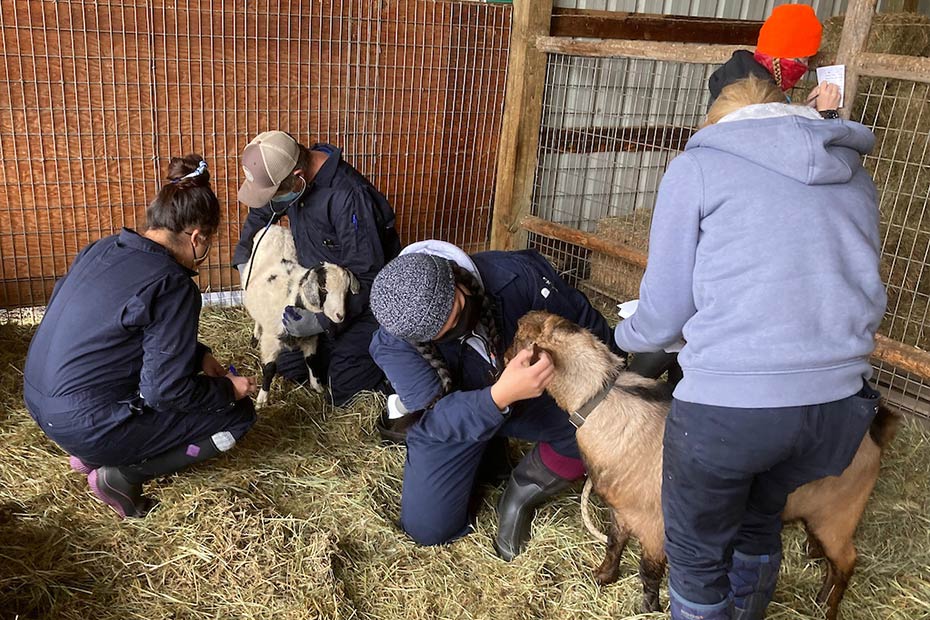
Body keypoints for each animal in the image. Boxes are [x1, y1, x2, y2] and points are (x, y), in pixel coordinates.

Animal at [508, 312, 900, 616]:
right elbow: (614, 544)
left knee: (846, 561)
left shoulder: (655, 524)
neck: (603, 399)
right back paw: (820, 596)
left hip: (839, 515)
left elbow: (649, 571)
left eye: (518, 338)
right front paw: (602, 577)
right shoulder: (623, 511)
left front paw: (647, 608)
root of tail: (874, 433)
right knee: (830, 561)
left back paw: (829, 609)